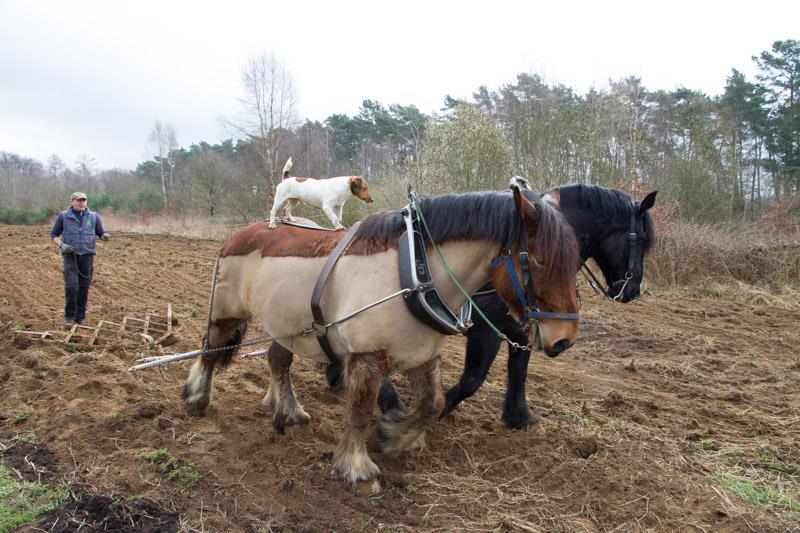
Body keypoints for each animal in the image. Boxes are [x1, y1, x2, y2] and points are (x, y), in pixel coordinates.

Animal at [182, 183, 580, 486]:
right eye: (539, 260)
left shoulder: (423, 356)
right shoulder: (367, 357)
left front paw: (393, 437)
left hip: (287, 325)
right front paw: (356, 467)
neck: (412, 273)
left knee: (278, 361)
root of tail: (240, 234)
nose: (564, 338)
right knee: (209, 350)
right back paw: (197, 396)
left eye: (575, 262)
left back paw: (290, 412)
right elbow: (359, 411)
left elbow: (433, 404)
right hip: (226, 313)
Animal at [324, 183, 656, 428]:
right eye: (641, 239)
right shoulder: (486, 331)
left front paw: (518, 416)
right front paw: (440, 409)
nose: (631, 291)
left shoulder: (523, 327)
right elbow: (473, 379)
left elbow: (519, 370)